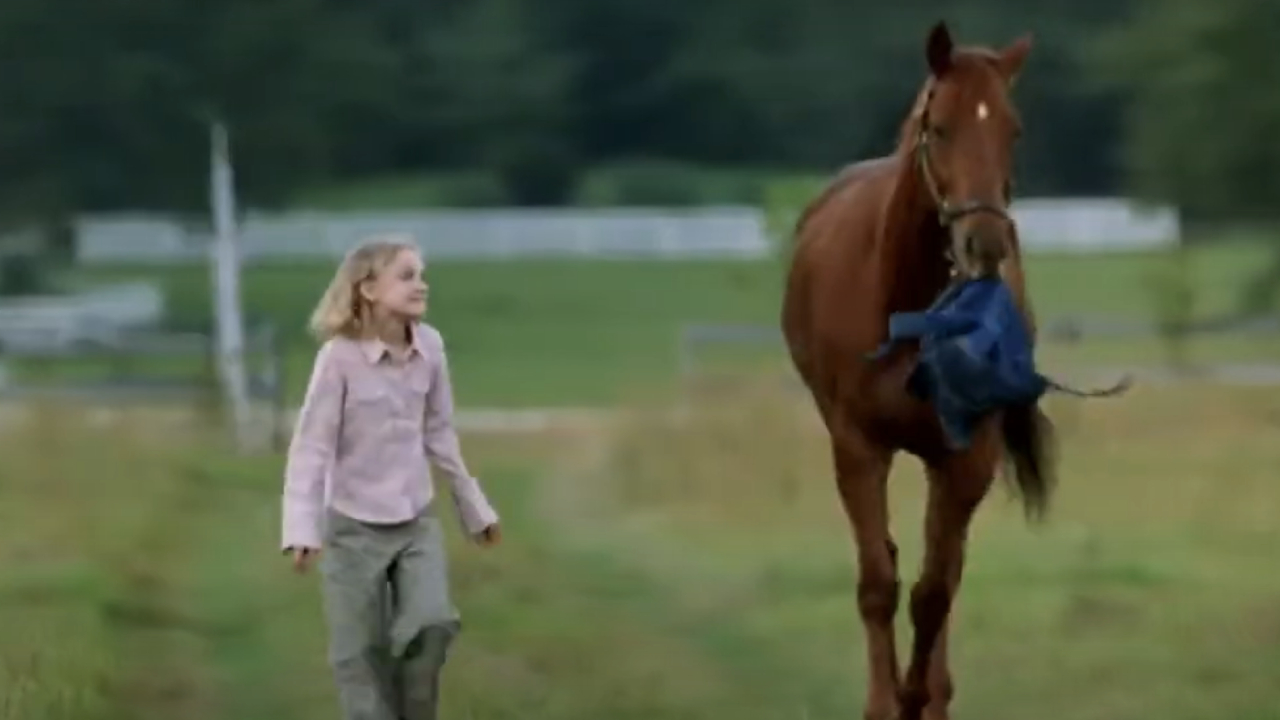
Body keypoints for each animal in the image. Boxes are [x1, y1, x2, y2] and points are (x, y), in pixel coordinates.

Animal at [778, 20, 1049, 717]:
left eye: (1014, 130)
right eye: (940, 127)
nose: (985, 244)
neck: (902, 306)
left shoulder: (965, 456)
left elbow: (934, 593)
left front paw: (919, 696)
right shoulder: (856, 446)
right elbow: (879, 582)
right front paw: (886, 701)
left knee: (942, 575)